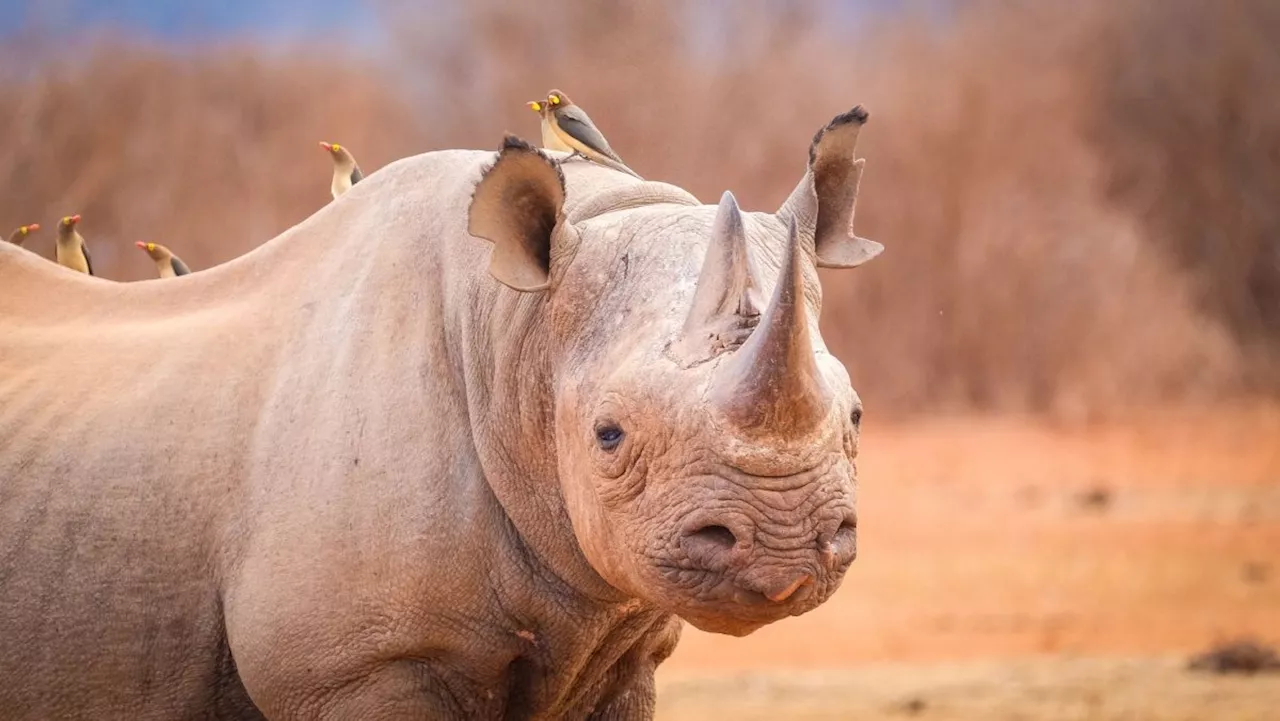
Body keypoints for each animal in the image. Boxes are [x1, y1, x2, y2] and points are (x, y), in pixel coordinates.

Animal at [0, 104, 880, 717]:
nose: (783, 544)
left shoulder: (620, 653)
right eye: (608, 435)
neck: (514, 328)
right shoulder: (363, 662)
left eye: (857, 418)